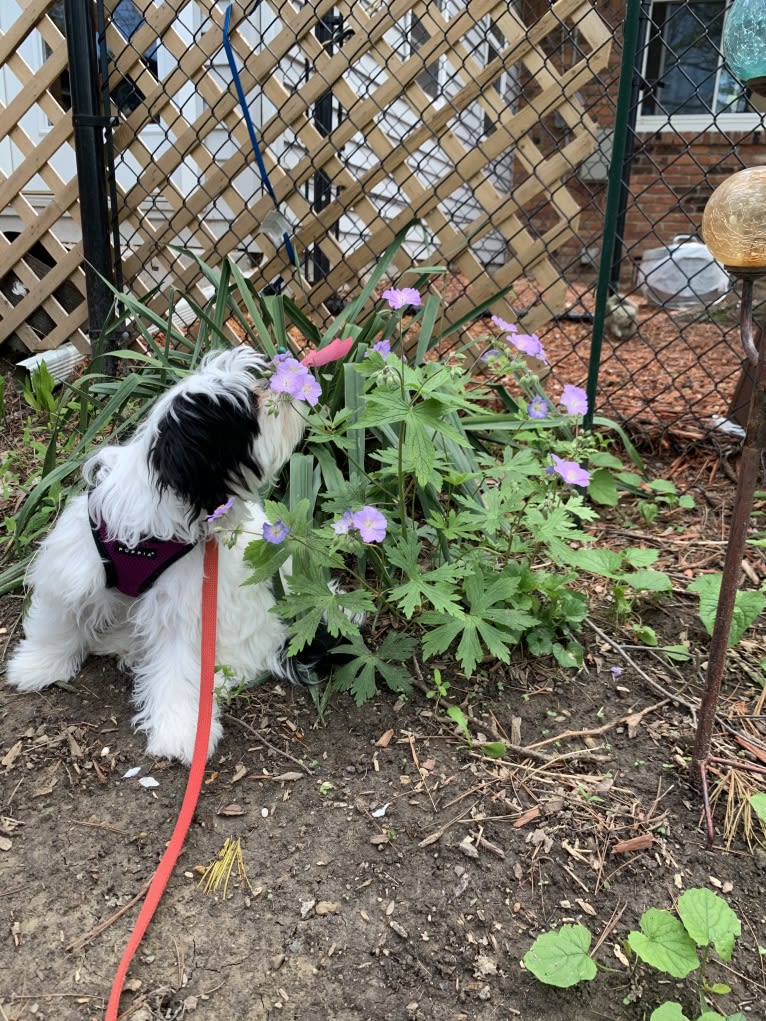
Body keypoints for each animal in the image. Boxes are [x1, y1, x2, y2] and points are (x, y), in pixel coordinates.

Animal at [6, 347, 314, 763]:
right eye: (251, 401)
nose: (280, 384)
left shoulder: (185, 610)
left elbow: (180, 669)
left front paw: (180, 730)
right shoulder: (77, 567)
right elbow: (58, 620)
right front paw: (37, 665)